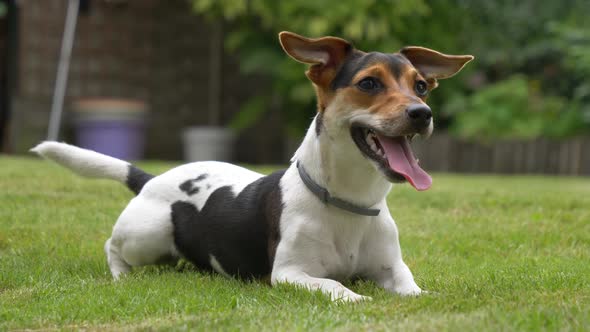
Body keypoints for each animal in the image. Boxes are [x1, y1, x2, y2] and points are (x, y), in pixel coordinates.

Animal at [33, 32, 476, 302]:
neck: (348, 203)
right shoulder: (292, 274)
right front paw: (358, 297)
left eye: (421, 86)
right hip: (148, 236)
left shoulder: (393, 269)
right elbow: (337, 286)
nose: (422, 113)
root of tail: (153, 178)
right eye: (369, 83)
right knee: (113, 247)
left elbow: (411, 288)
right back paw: (121, 275)